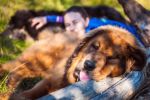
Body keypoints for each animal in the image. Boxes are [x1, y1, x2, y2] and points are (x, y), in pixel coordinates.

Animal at [10, 25, 146, 99]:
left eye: (112, 58)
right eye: (95, 46)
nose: (88, 65)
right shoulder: (49, 81)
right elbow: (30, 93)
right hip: (39, 61)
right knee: (13, 67)